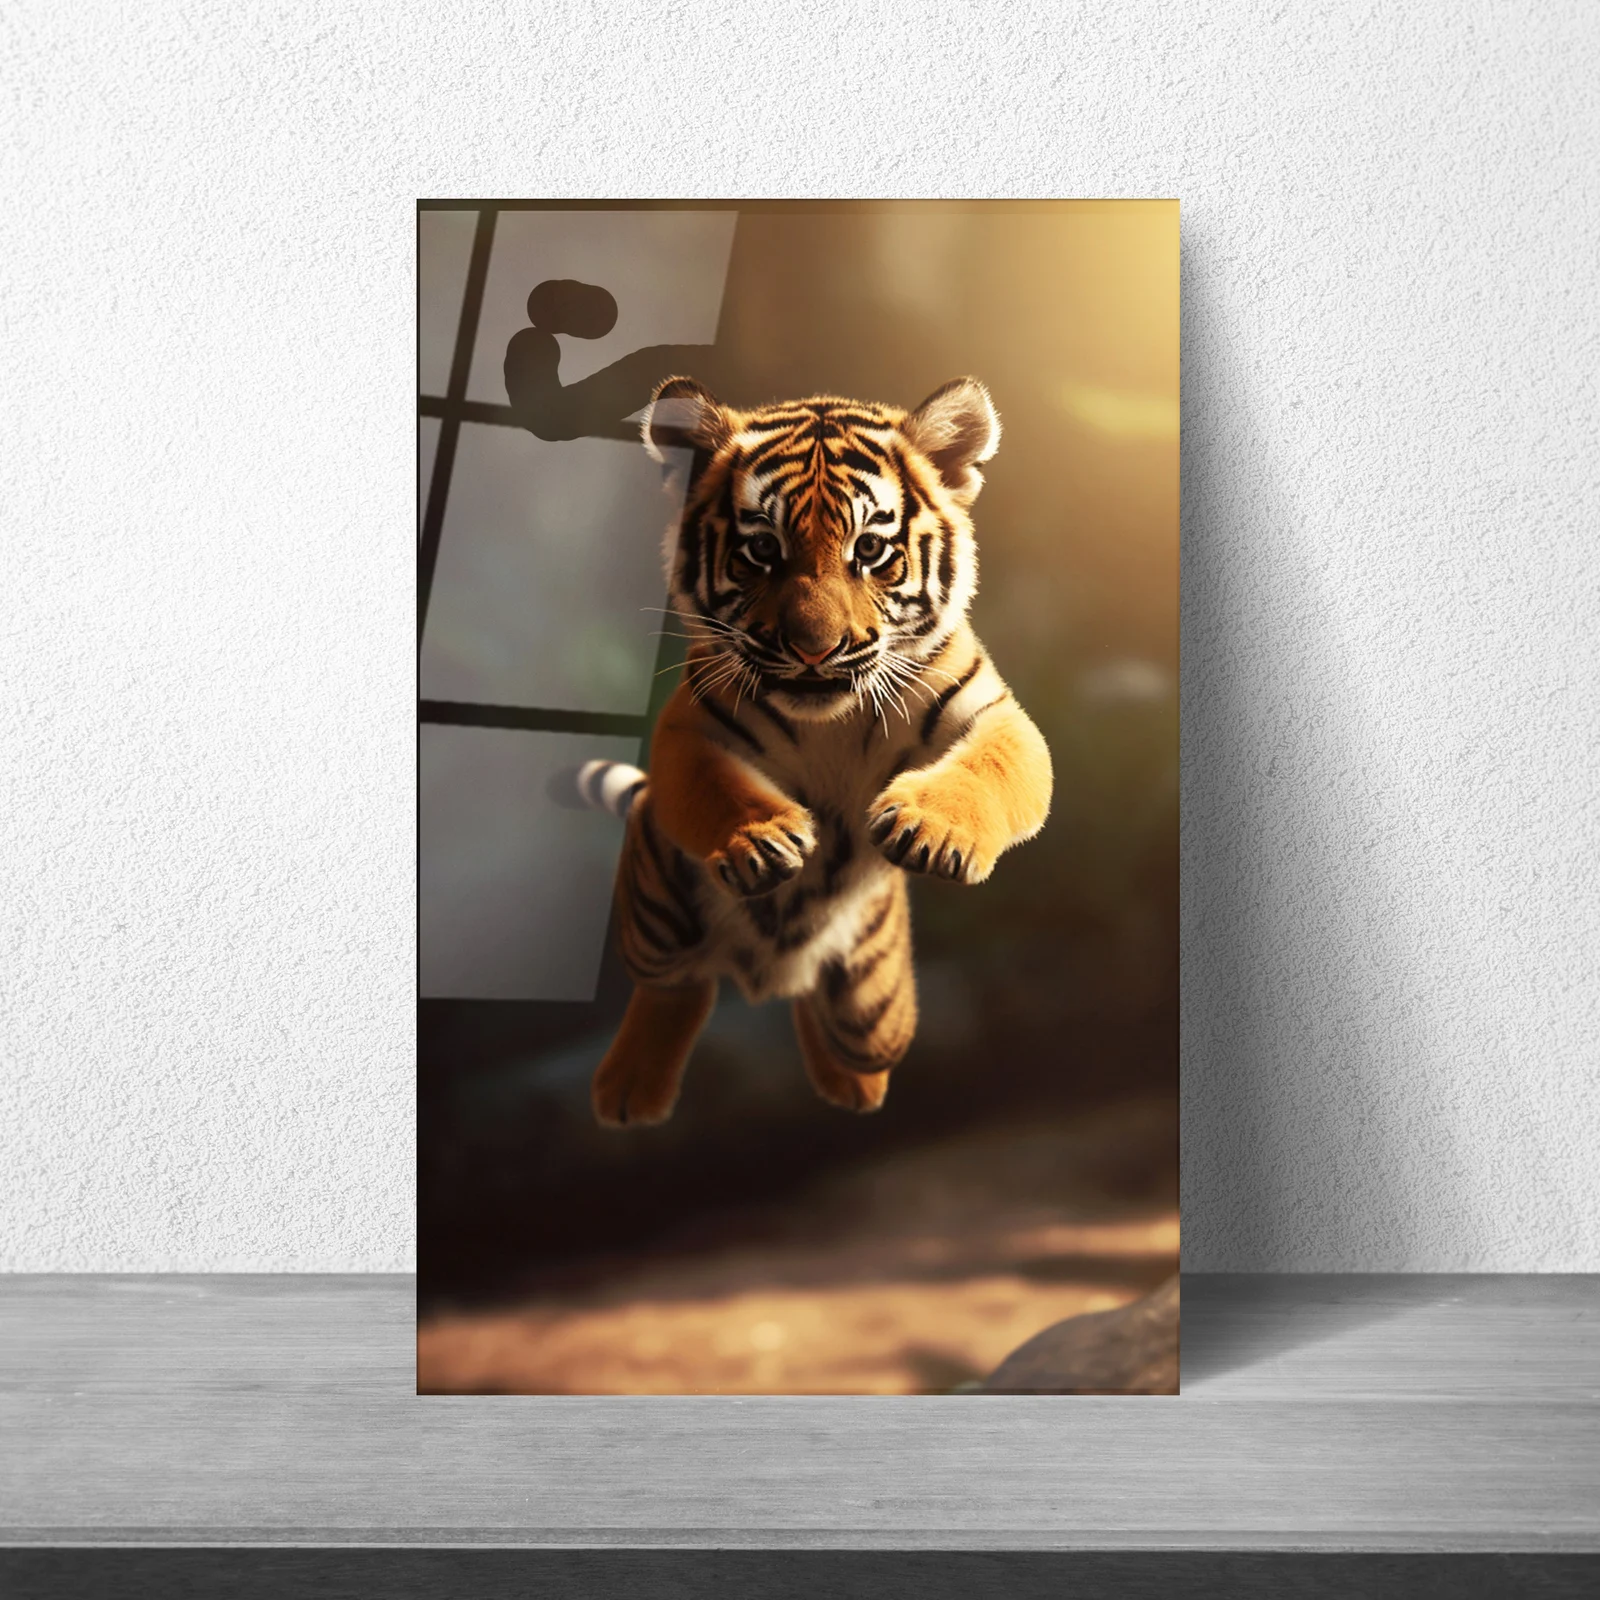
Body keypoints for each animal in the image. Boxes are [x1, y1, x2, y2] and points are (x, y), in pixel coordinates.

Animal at [580, 375, 1053, 1127]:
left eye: (871, 550)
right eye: (762, 550)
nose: (813, 649)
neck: (830, 719)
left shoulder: (998, 716)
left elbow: (991, 767)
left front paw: (930, 828)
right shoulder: (689, 730)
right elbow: (714, 785)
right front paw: (762, 840)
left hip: (870, 1004)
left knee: (847, 1026)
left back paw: (852, 1087)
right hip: (655, 919)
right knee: (677, 985)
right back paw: (628, 1091)